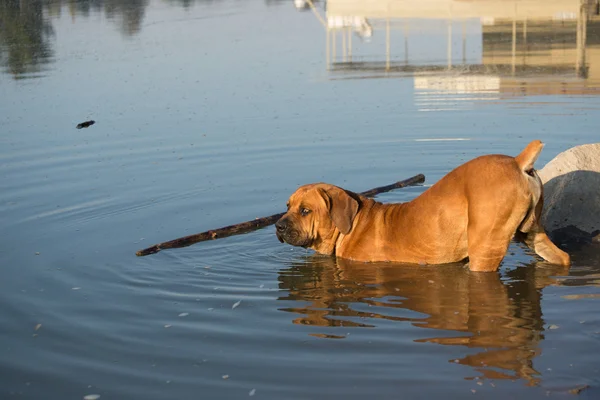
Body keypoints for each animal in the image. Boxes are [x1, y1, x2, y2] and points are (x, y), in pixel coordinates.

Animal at [274, 141, 568, 272]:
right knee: (562, 257)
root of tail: (518, 161)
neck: (352, 224)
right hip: (532, 233)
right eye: (287, 205)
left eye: (305, 210)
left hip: (486, 248)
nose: (277, 226)